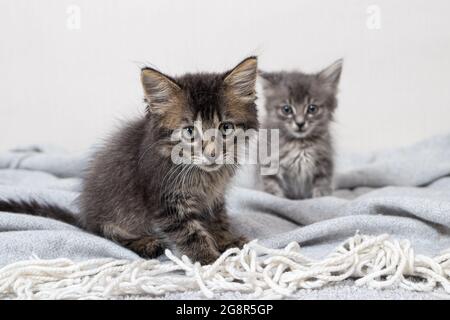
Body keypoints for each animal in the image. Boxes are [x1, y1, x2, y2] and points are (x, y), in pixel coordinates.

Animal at [0, 57, 258, 262]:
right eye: (189, 131)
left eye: (225, 128)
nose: (212, 153)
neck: (204, 175)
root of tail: (85, 216)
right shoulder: (164, 200)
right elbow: (190, 232)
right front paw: (211, 261)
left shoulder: (215, 196)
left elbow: (218, 218)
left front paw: (225, 240)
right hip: (112, 212)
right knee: (106, 232)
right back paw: (145, 243)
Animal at [258, 59, 342, 199]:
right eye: (286, 109)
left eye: (312, 109)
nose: (300, 123)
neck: (299, 144)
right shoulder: (270, 163)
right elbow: (272, 188)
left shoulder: (324, 164)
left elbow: (322, 187)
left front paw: (321, 197)